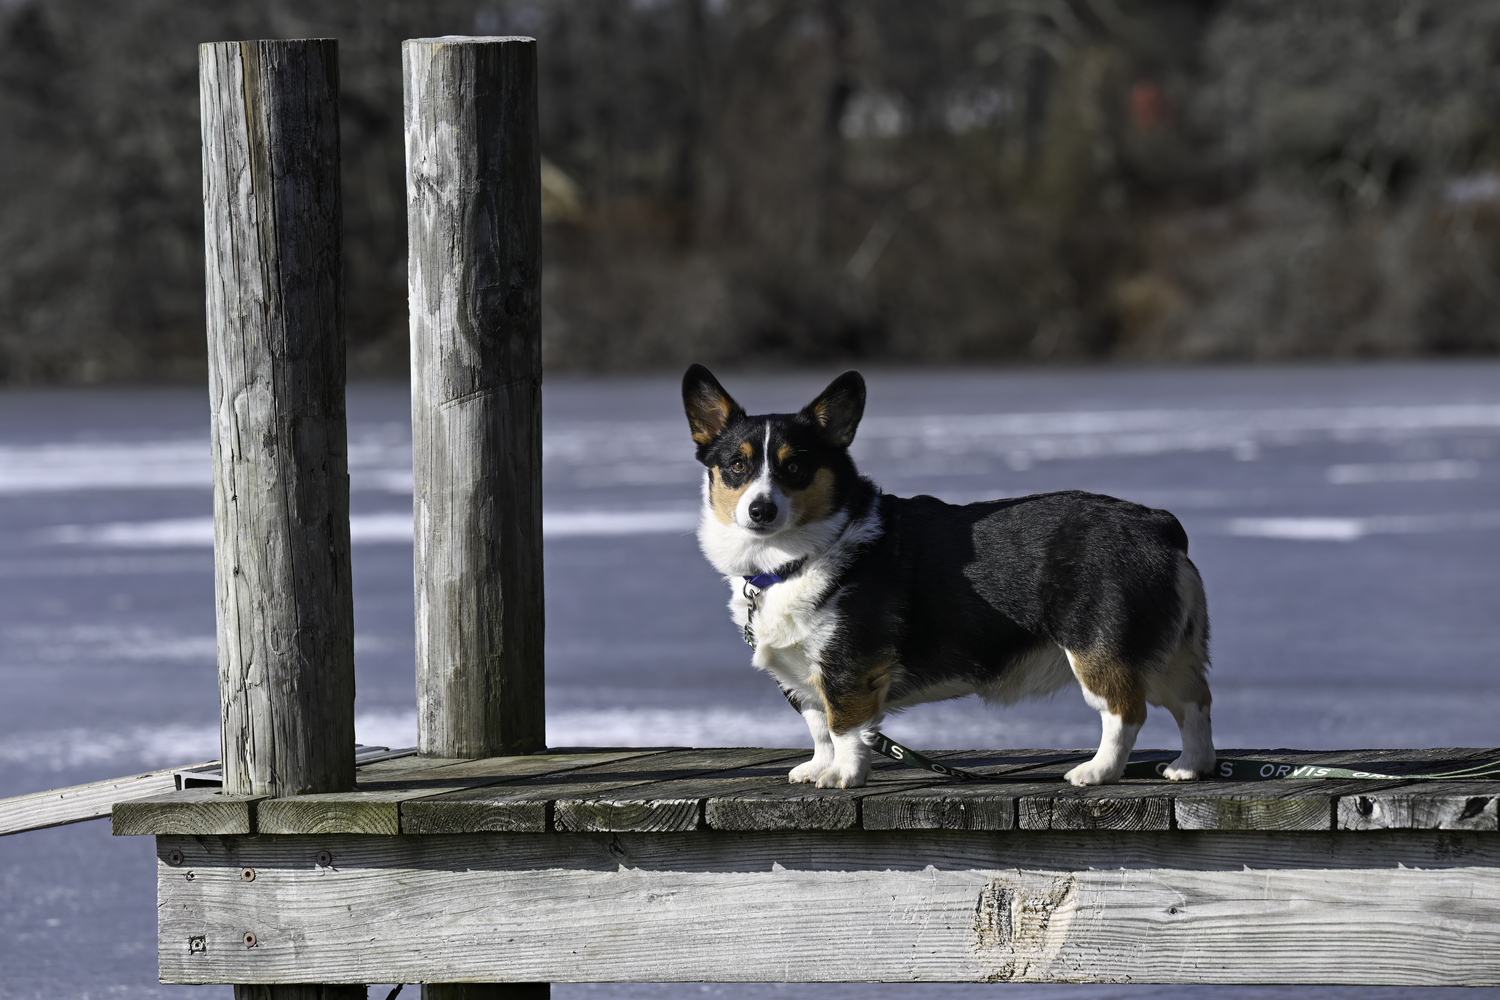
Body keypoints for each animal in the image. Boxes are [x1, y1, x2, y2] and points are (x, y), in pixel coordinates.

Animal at [684, 365, 1218, 791]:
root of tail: (1157, 522)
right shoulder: (806, 677)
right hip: (1168, 651)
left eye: (795, 466)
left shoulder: (849, 669)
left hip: (1099, 651)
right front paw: (819, 767)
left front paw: (843, 776)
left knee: (1126, 713)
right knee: (1195, 702)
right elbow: (819, 728)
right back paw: (1190, 767)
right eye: (737, 465)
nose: (761, 510)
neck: (795, 557)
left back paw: (1097, 771)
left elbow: (845, 730)